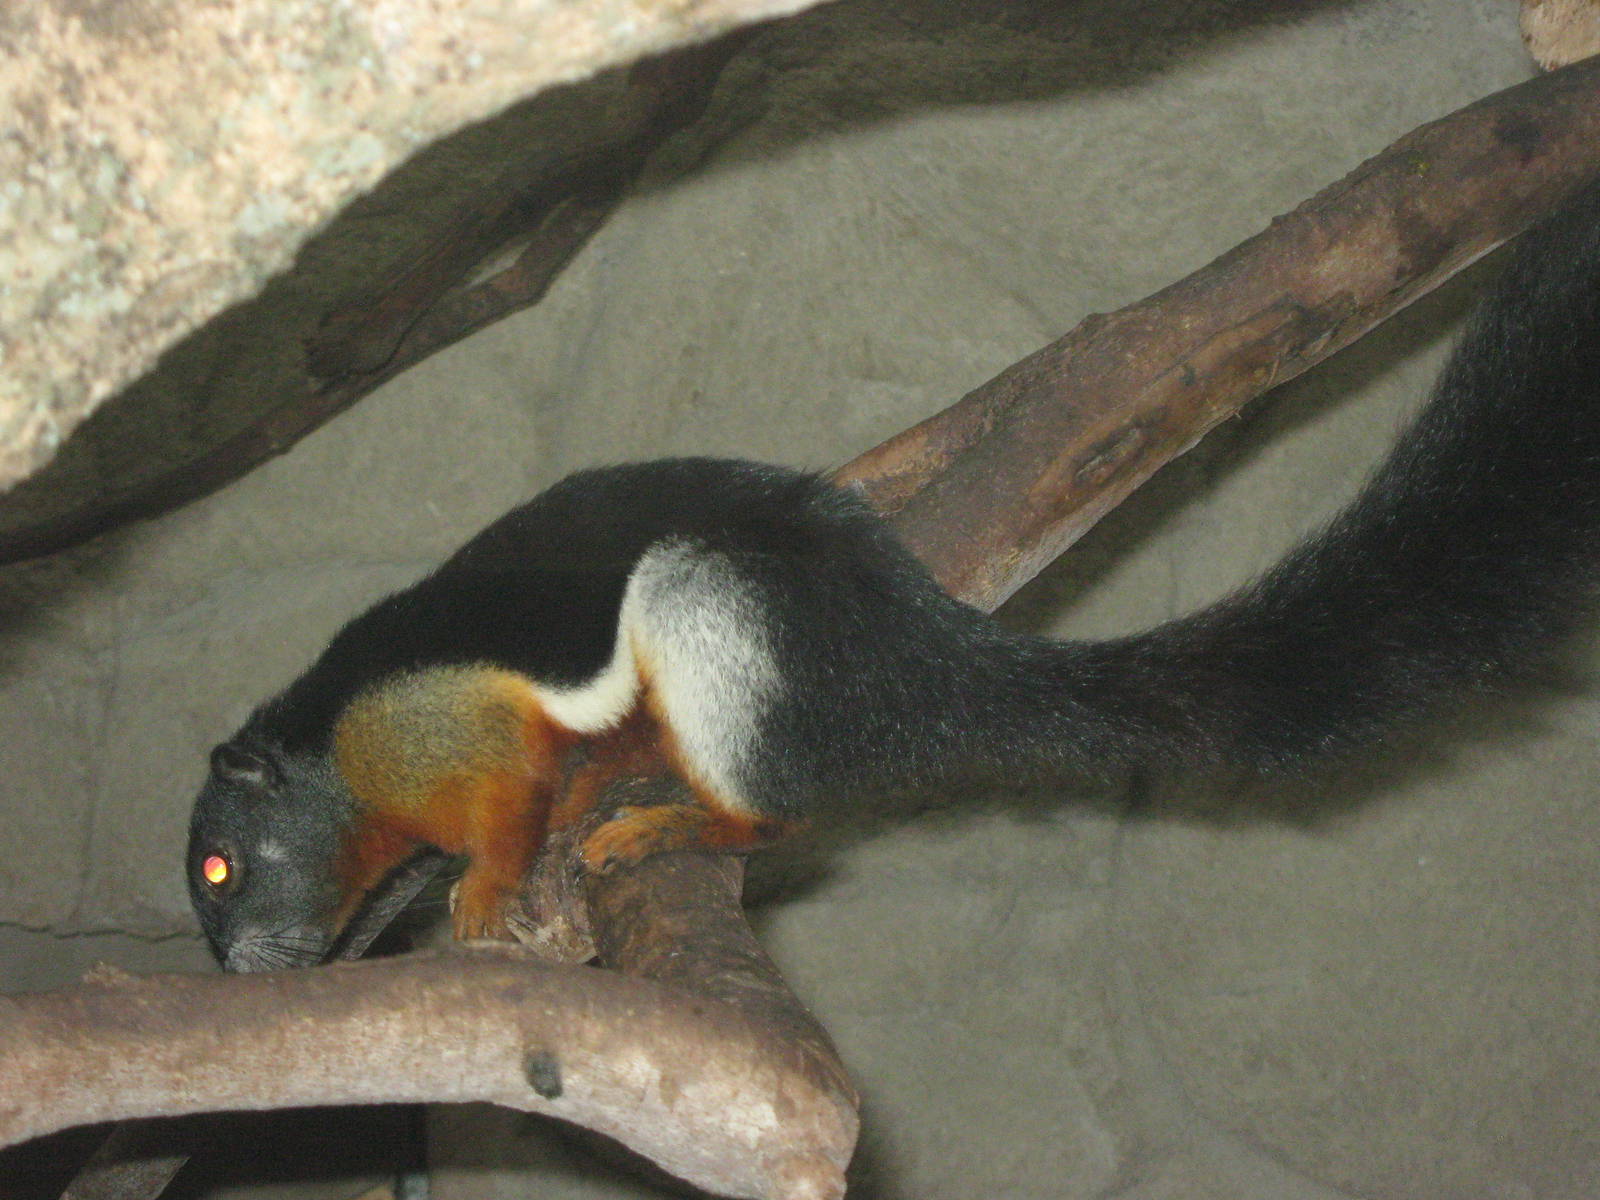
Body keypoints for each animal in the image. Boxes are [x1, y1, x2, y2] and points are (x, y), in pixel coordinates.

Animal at [189, 181, 1600, 974]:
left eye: (218, 870)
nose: (240, 972)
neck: (331, 752)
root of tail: (916, 653)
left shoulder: (433, 720)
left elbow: (500, 806)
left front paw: (483, 888)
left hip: (714, 606)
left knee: (784, 812)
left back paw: (685, 821)